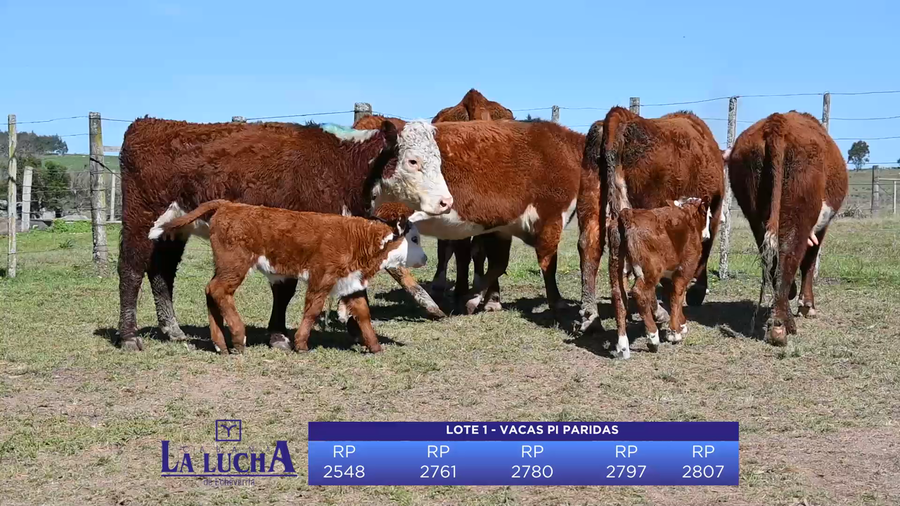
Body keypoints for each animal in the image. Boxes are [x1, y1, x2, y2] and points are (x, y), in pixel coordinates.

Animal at [148, 200, 428, 354]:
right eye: (414, 238)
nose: (425, 258)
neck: (358, 238)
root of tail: (229, 205)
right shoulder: (321, 278)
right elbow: (312, 310)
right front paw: (301, 344)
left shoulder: (351, 283)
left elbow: (363, 314)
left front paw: (375, 346)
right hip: (235, 264)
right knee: (219, 291)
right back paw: (238, 337)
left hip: (224, 265)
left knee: (210, 292)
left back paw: (221, 345)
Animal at [608, 197, 712, 359]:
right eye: (709, 216)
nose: (708, 235)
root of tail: (627, 214)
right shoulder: (685, 269)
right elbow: (677, 296)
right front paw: (674, 333)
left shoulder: (669, 275)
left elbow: (673, 296)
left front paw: (681, 324)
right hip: (651, 270)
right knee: (639, 293)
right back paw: (653, 338)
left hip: (617, 265)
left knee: (618, 297)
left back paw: (622, 346)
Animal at [724, 111, 847, 346]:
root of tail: (776, 123)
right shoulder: (821, 227)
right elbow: (809, 262)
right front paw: (807, 305)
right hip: (798, 212)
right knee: (789, 255)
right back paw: (781, 326)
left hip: (756, 212)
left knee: (773, 260)